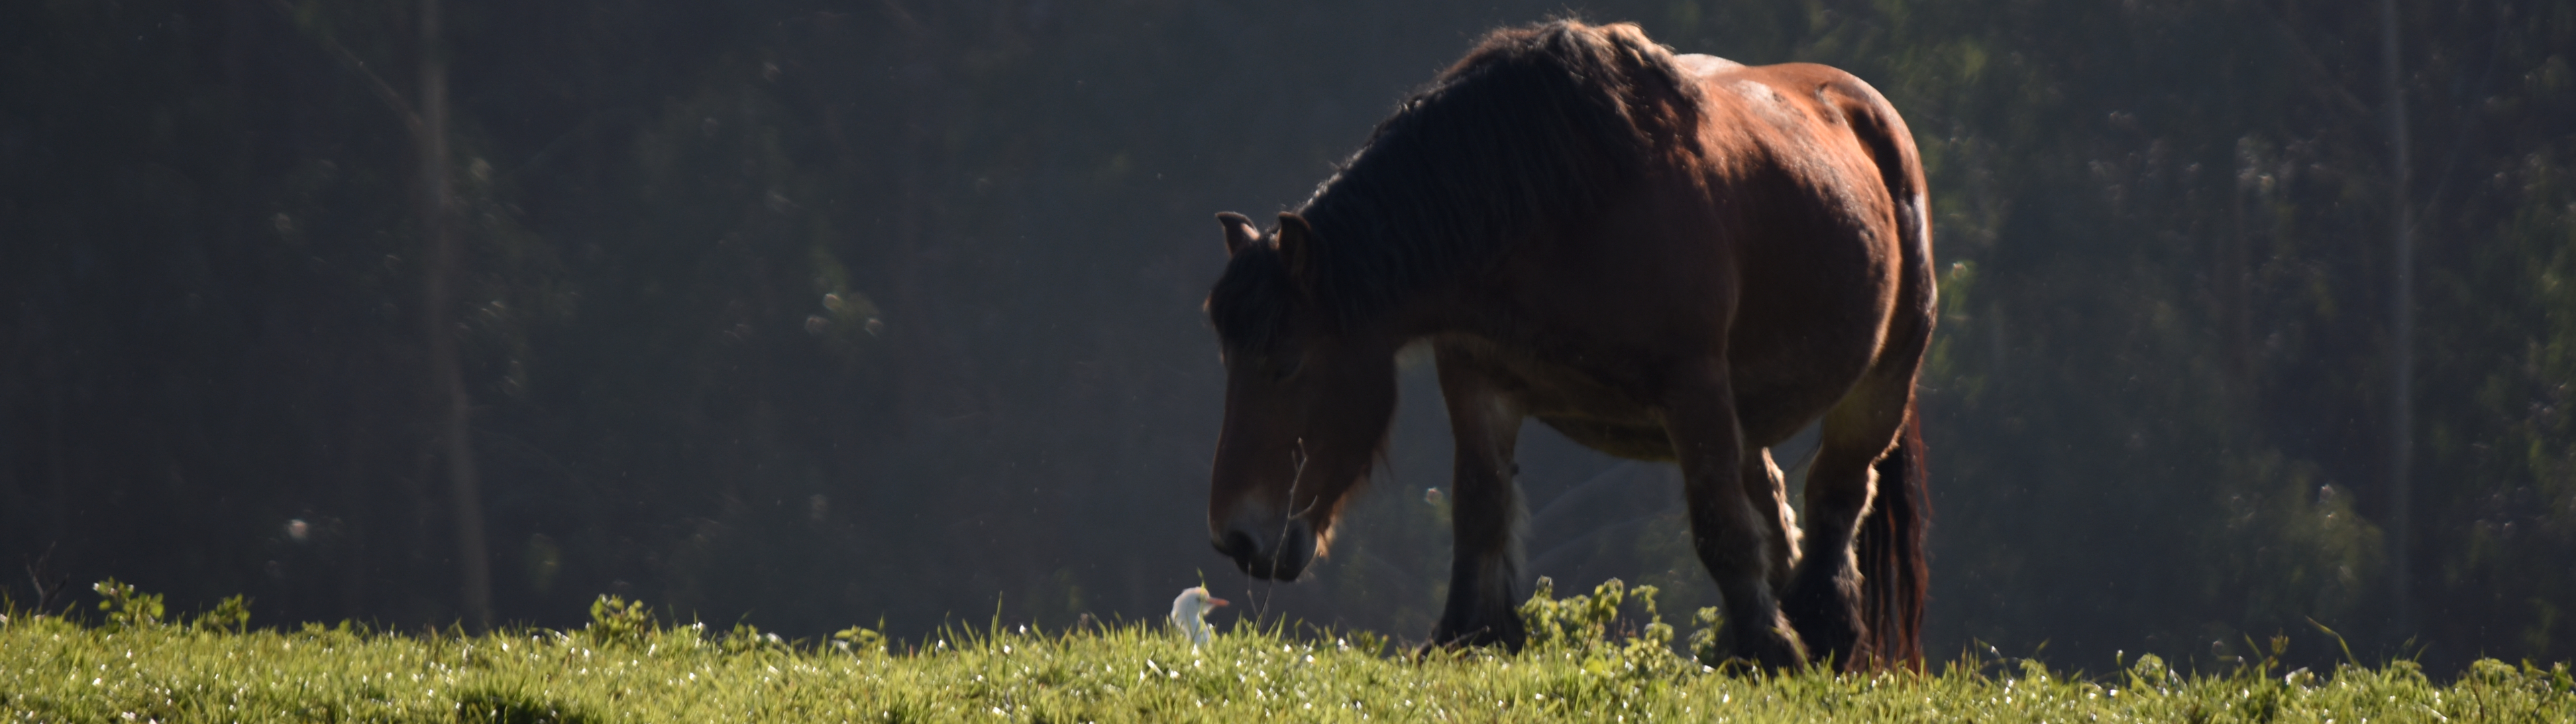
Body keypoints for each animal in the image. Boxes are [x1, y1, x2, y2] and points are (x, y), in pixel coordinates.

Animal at [1195, 18, 1927, 670]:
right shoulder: (1476, 379)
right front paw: (1467, 636)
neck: (1556, 207)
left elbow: (1720, 523)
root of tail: (1867, 108)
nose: (1237, 537)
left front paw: (1767, 653)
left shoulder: (1692, 386)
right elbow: (1480, 510)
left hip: (1880, 383)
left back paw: (1821, 630)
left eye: (1287, 364)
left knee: (1836, 492)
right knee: (1775, 499)